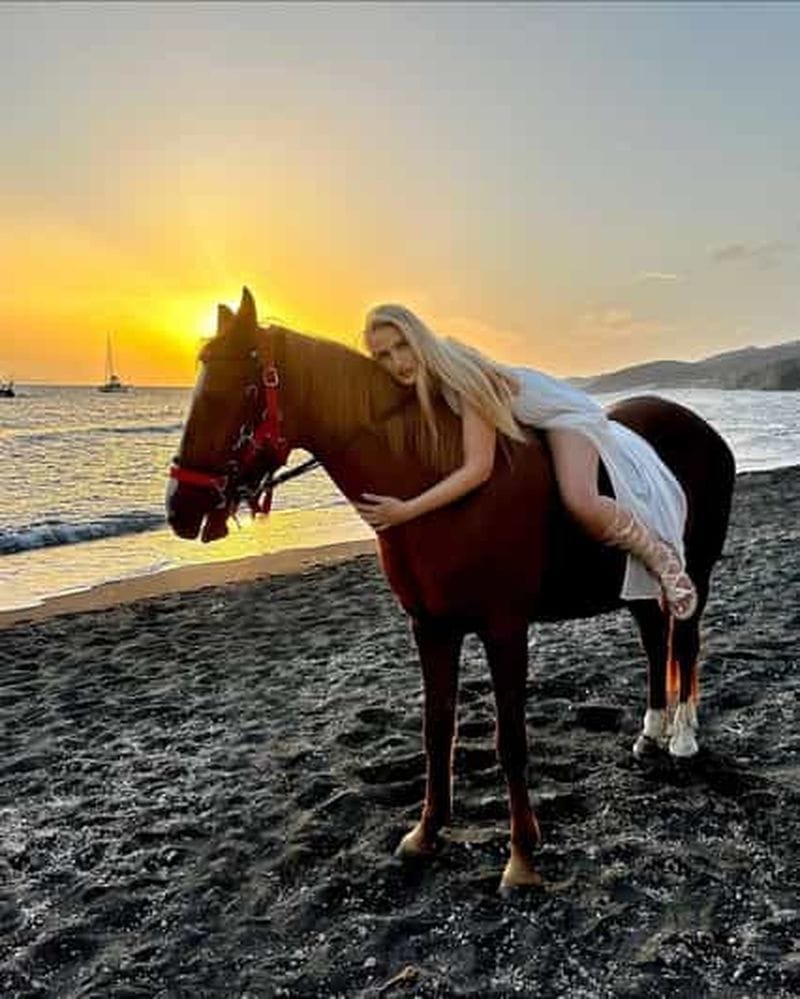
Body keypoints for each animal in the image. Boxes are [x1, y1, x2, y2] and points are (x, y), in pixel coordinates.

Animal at [166, 288, 736, 890]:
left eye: (244, 389)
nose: (180, 508)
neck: (434, 481)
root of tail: (701, 429)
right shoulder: (431, 627)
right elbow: (437, 730)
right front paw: (426, 833)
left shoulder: (504, 630)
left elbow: (511, 742)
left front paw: (521, 857)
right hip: (635, 585)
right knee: (655, 640)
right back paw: (652, 732)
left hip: (694, 572)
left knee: (684, 641)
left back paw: (683, 737)